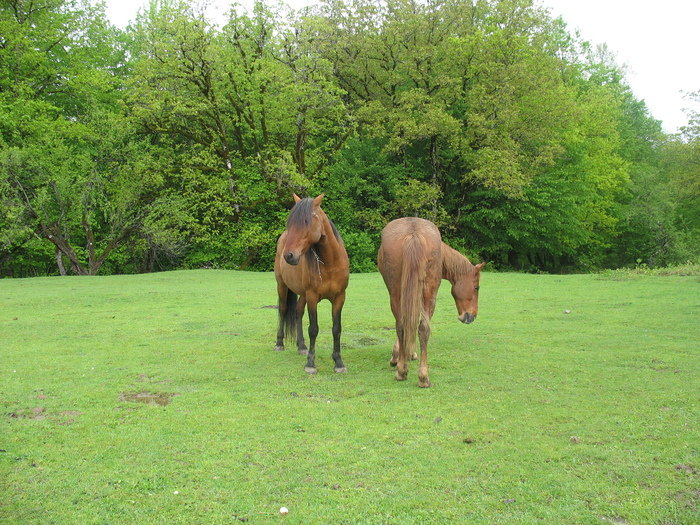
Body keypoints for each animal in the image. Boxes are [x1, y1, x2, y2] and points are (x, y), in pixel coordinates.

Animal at [274, 194, 349, 374]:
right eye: (290, 223)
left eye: (306, 221)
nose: (289, 256)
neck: (330, 263)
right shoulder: (313, 297)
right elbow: (313, 329)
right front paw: (310, 364)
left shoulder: (339, 297)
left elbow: (337, 329)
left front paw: (338, 362)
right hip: (282, 286)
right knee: (283, 310)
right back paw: (279, 343)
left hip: (302, 294)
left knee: (298, 312)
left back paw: (302, 346)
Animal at [377, 217, 485, 387]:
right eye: (476, 287)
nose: (471, 316)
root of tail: (413, 233)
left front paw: (404, 354)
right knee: (418, 327)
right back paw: (416, 374)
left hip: (401, 294)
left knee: (407, 326)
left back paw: (408, 372)